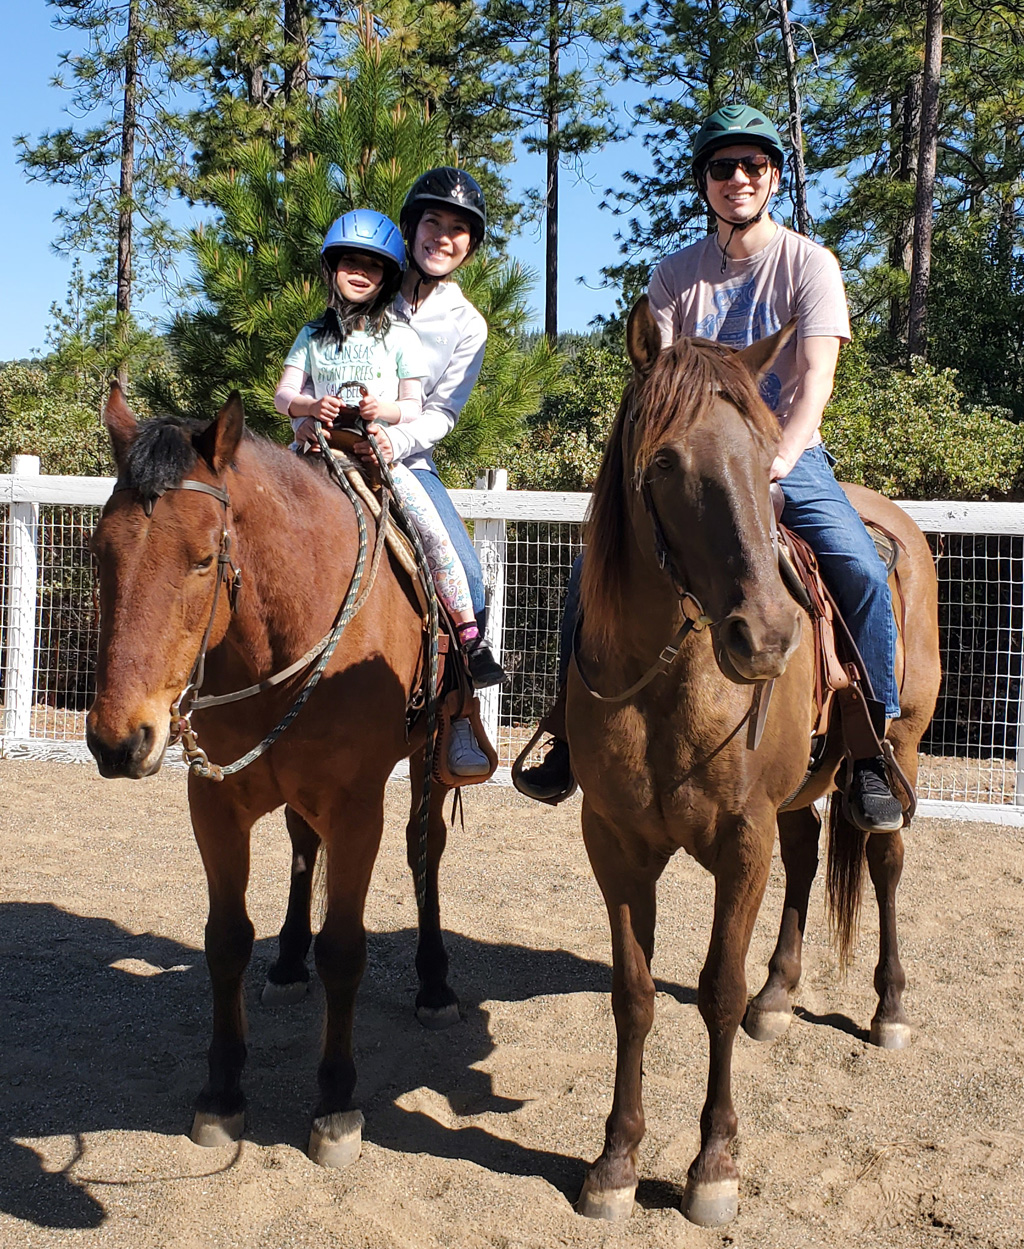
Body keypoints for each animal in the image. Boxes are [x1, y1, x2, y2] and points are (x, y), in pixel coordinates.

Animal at [86, 384, 457, 1164]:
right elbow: (226, 940)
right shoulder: (215, 804)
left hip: (431, 761)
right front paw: (222, 1093)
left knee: (425, 851)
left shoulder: (358, 810)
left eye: (203, 559)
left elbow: (345, 949)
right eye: (101, 551)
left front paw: (337, 1103)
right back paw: (288, 961)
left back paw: (434, 982)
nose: (118, 740)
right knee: (299, 843)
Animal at [571, 297, 939, 1224]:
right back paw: (782, 992)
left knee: (884, 861)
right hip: (797, 794)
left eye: (768, 461)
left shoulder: (741, 842)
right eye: (664, 461)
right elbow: (633, 993)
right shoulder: (613, 843)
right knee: (806, 856)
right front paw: (616, 1159)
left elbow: (715, 990)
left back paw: (889, 1005)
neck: (669, 685)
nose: (768, 637)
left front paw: (712, 1165)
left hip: (899, 749)